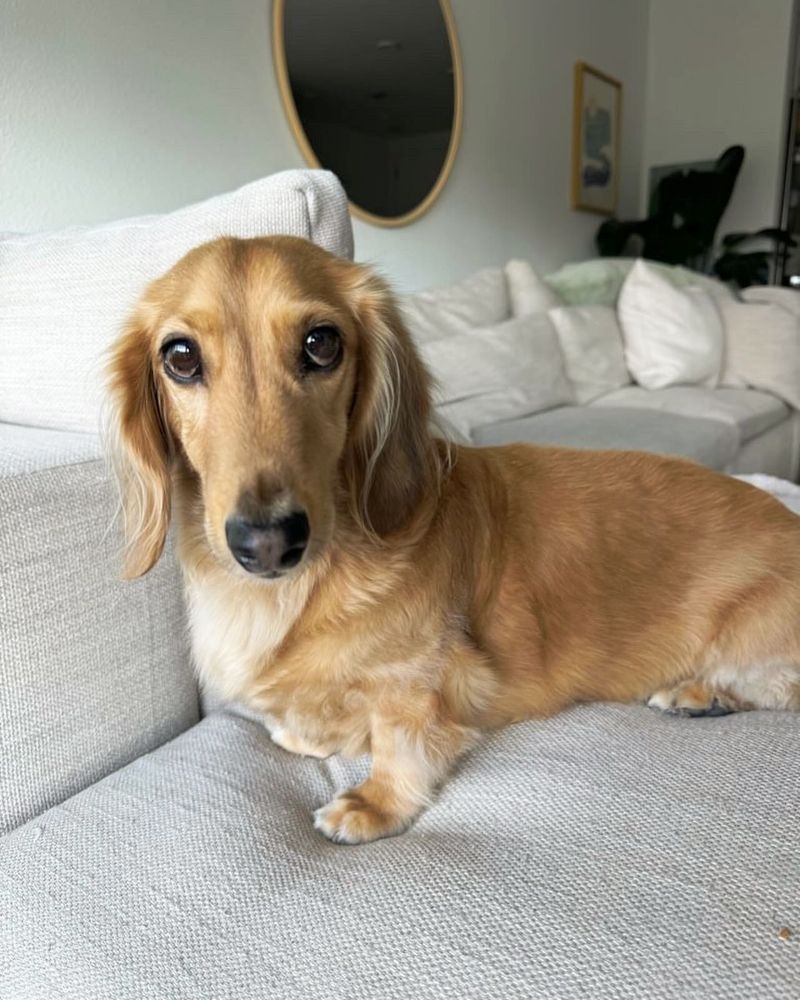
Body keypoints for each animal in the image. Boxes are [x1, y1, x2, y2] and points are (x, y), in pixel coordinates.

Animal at [108, 236, 800, 844]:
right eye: (180, 357)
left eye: (321, 343)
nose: (268, 543)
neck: (303, 588)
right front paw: (312, 734)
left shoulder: (423, 683)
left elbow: (400, 741)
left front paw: (374, 804)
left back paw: (700, 690)